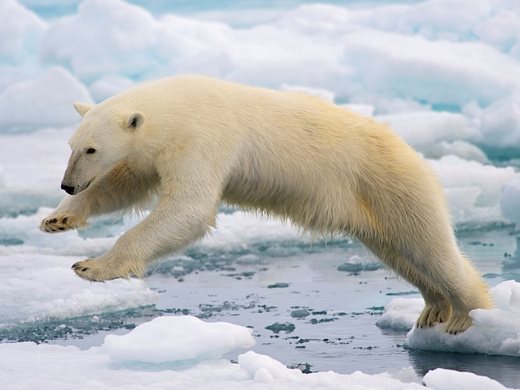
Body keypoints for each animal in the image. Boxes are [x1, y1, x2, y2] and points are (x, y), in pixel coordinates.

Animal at [40, 74, 492, 334]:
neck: (175, 108)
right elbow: (125, 184)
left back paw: (466, 315)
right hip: (371, 207)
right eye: (71, 145)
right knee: (400, 253)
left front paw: (92, 266)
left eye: (92, 148)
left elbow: (188, 208)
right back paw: (433, 308)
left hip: (390, 183)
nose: (67, 184)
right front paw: (58, 219)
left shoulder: (203, 138)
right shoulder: (154, 152)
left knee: (430, 246)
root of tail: (411, 152)